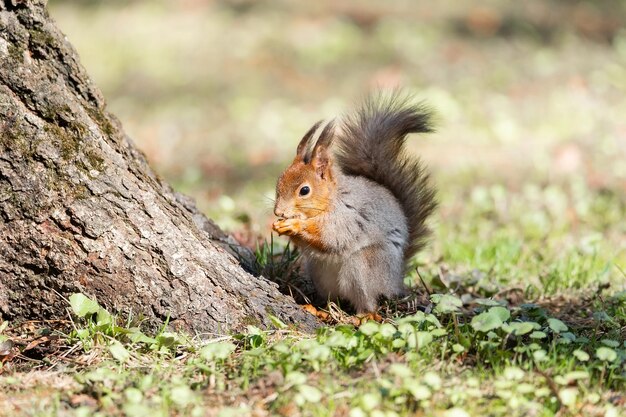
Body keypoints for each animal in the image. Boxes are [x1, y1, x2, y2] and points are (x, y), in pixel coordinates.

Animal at [270, 92, 436, 312]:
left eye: (304, 190)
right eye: (279, 182)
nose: (278, 212)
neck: (332, 199)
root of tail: (396, 280)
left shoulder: (348, 215)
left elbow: (331, 237)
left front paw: (295, 225)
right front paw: (278, 226)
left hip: (364, 267)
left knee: (368, 303)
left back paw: (363, 314)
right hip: (319, 273)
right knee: (332, 299)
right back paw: (318, 309)